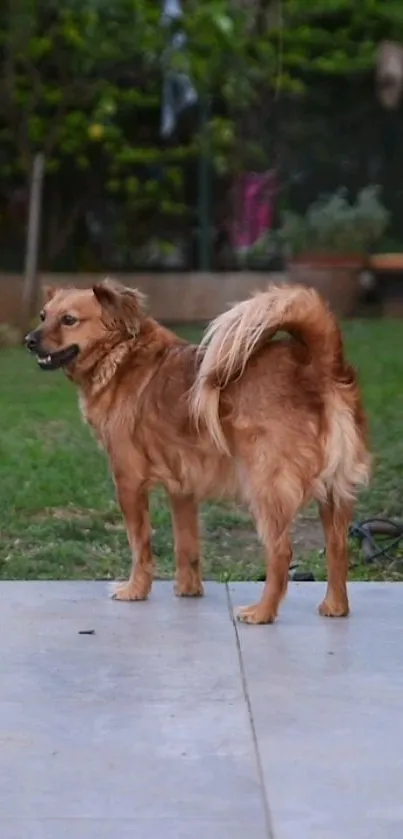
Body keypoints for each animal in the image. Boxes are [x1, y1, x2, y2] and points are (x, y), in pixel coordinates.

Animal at [25, 278, 370, 620]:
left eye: (69, 320)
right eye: (43, 316)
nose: (28, 340)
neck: (121, 353)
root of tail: (317, 366)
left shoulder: (128, 482)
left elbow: (140, 545)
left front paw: (135, 590)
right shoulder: (183, 488)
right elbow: (186, 544)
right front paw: (188, 591)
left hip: (265, 488)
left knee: (281, 552)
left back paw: (262, 612)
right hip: (335, 494)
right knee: (338, 549)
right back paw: (335, 607)